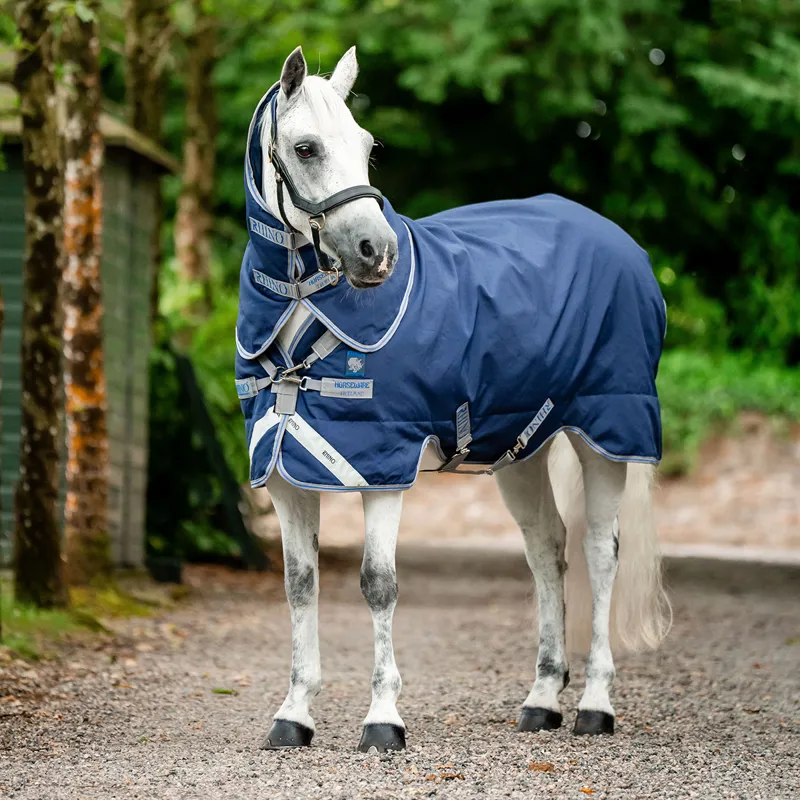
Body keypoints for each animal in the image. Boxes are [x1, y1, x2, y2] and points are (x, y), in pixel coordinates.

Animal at [236, 45, 671, 753]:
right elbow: (300, 586)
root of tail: (623, 244)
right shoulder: (282, 473)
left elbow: (378, 584)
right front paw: (294, 714)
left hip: (607, 434)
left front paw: (383, 719)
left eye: (366, 145)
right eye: (305, 148)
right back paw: (541, 700)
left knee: (601, 554)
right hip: (523, 450)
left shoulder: (382, 466)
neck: (306, 312)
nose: (375, 253)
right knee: (546, 550)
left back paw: (595, 706)